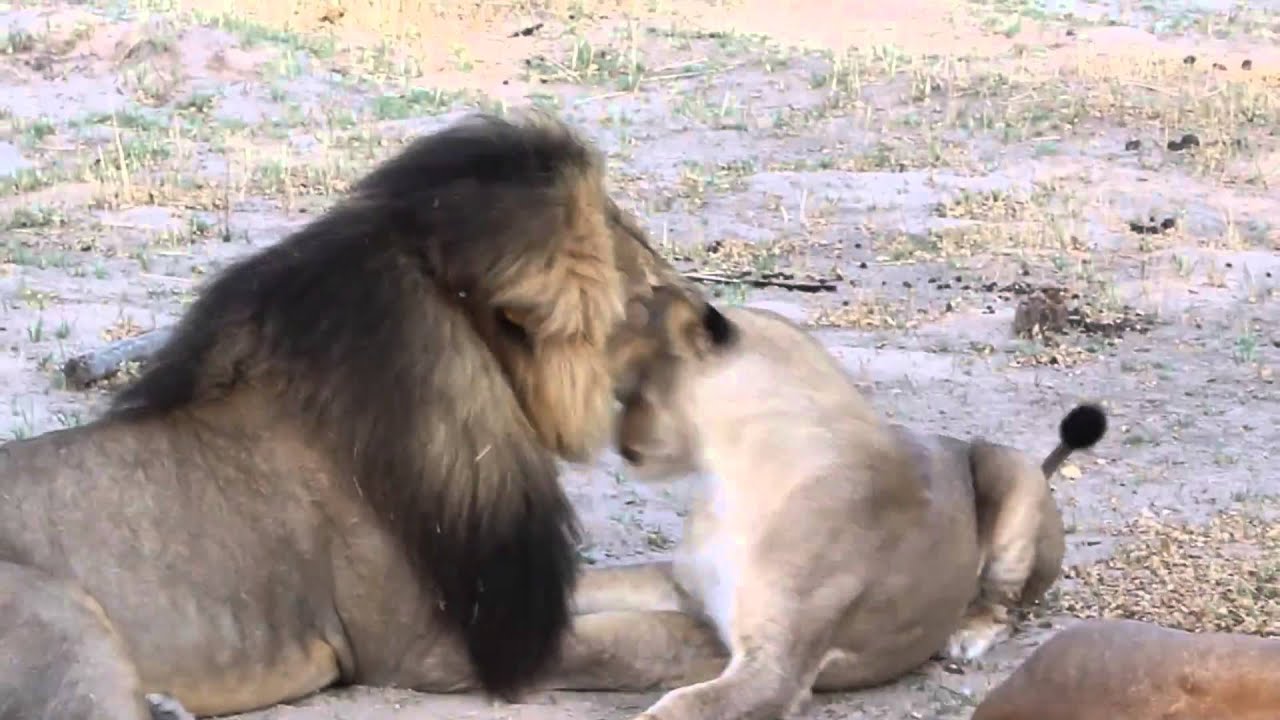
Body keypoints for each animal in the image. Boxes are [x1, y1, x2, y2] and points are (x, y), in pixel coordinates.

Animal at [0, 111, 706, 720]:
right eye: (646, 293)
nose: (716, 324)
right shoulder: (434, 651)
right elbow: (643, 640)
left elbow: (638, 585)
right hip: (70, 622)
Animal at [558, 288, 1107, 719]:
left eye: (627, 391)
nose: (617, 442)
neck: (730, 477)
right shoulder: (687, 595)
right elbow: (599, 600)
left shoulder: (776, 671)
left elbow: (679, 705)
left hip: (1011, 473)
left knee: (1006, 604)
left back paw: (966, 634)